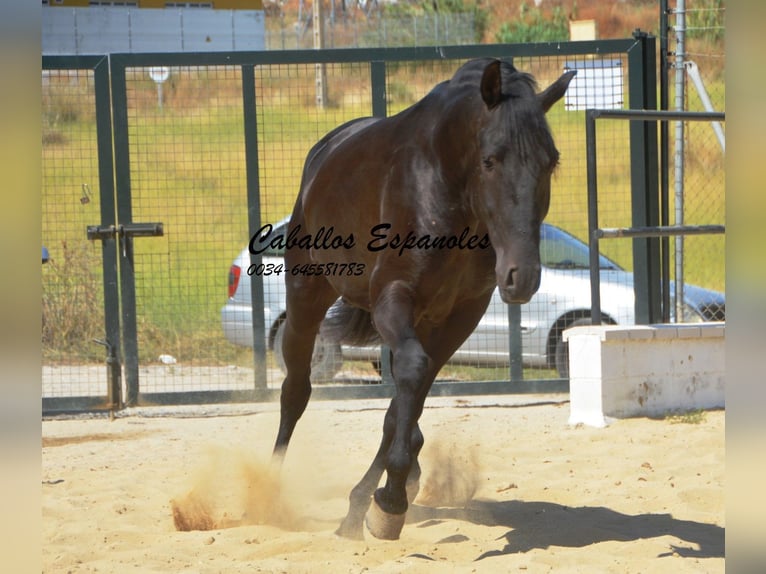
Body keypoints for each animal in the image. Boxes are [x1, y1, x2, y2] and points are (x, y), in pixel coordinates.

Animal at [270, 57, 576, 540]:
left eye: (551, 162)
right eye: (490, 160)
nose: (521, 276)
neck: (445, 189)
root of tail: (324, 153)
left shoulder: (460, 315)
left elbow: (404, 404)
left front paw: (377, 503)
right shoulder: (393, 298)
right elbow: (412, 376)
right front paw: (391, 498)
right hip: (307, 299)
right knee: (295, 391)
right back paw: (272, 489)